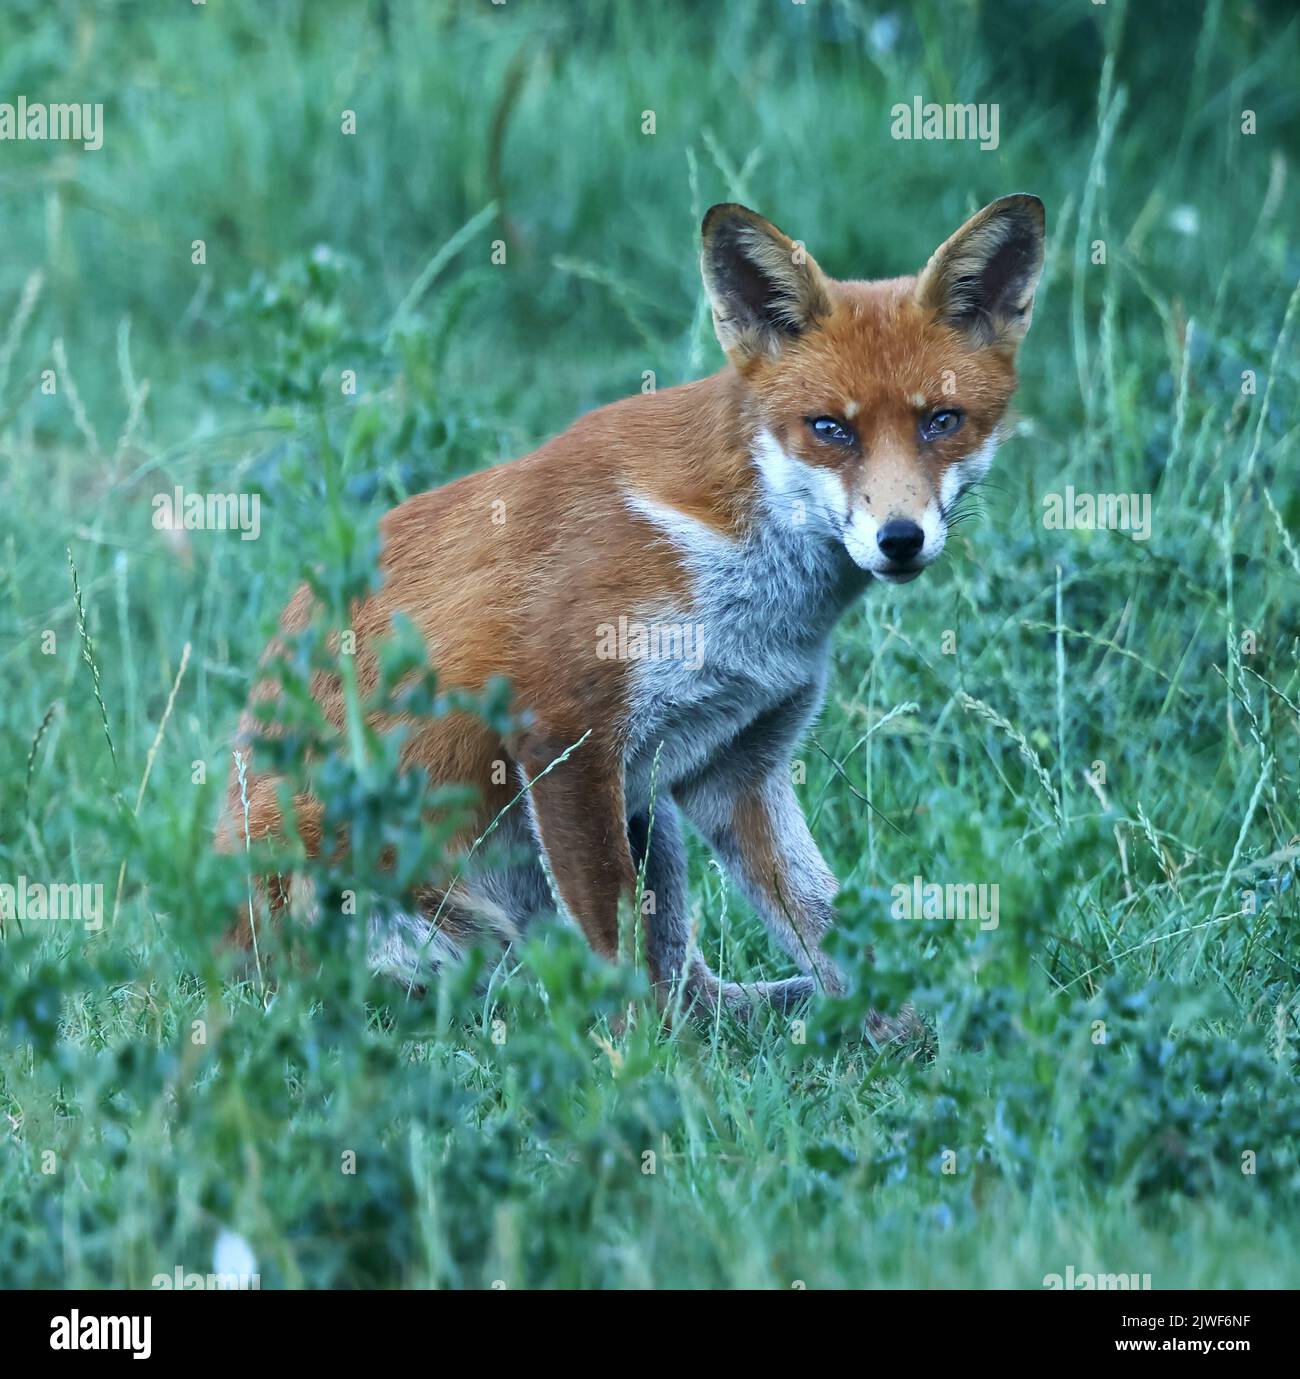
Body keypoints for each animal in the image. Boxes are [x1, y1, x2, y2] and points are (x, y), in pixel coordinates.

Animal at [218, 193, 1046, 1022]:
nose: (900, 538)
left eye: (942, 420)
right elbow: (616, 951)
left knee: (691, 985)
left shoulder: (736, 762)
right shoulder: (564, 733)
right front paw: (639, 1058)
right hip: (417, 908)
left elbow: (822, 922)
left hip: (649, 818)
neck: (744, 589)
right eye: (830, 428)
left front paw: (907, 1030)